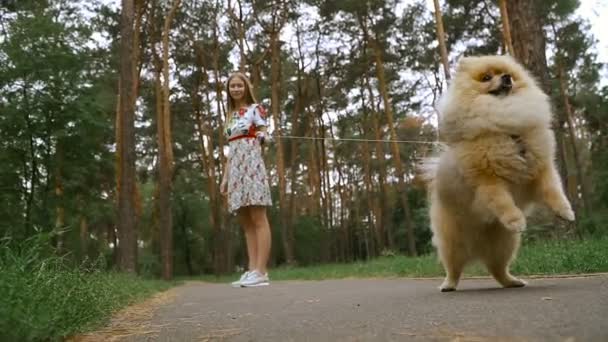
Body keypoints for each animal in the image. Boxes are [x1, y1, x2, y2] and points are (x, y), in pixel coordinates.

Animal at [420, 55, 576, 292]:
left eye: (508, 74)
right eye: (486, 78)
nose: (505, 78)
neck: (507, 128)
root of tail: (477, 246)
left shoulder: (541, 169)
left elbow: (554, 191)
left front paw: (565, 212)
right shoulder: (488, 180)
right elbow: (502, 202)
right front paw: (516, 220)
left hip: (505, 245)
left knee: (497, 269)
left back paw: (513, 281)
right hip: (453, 243)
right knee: (453, 268)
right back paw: (448, 285)